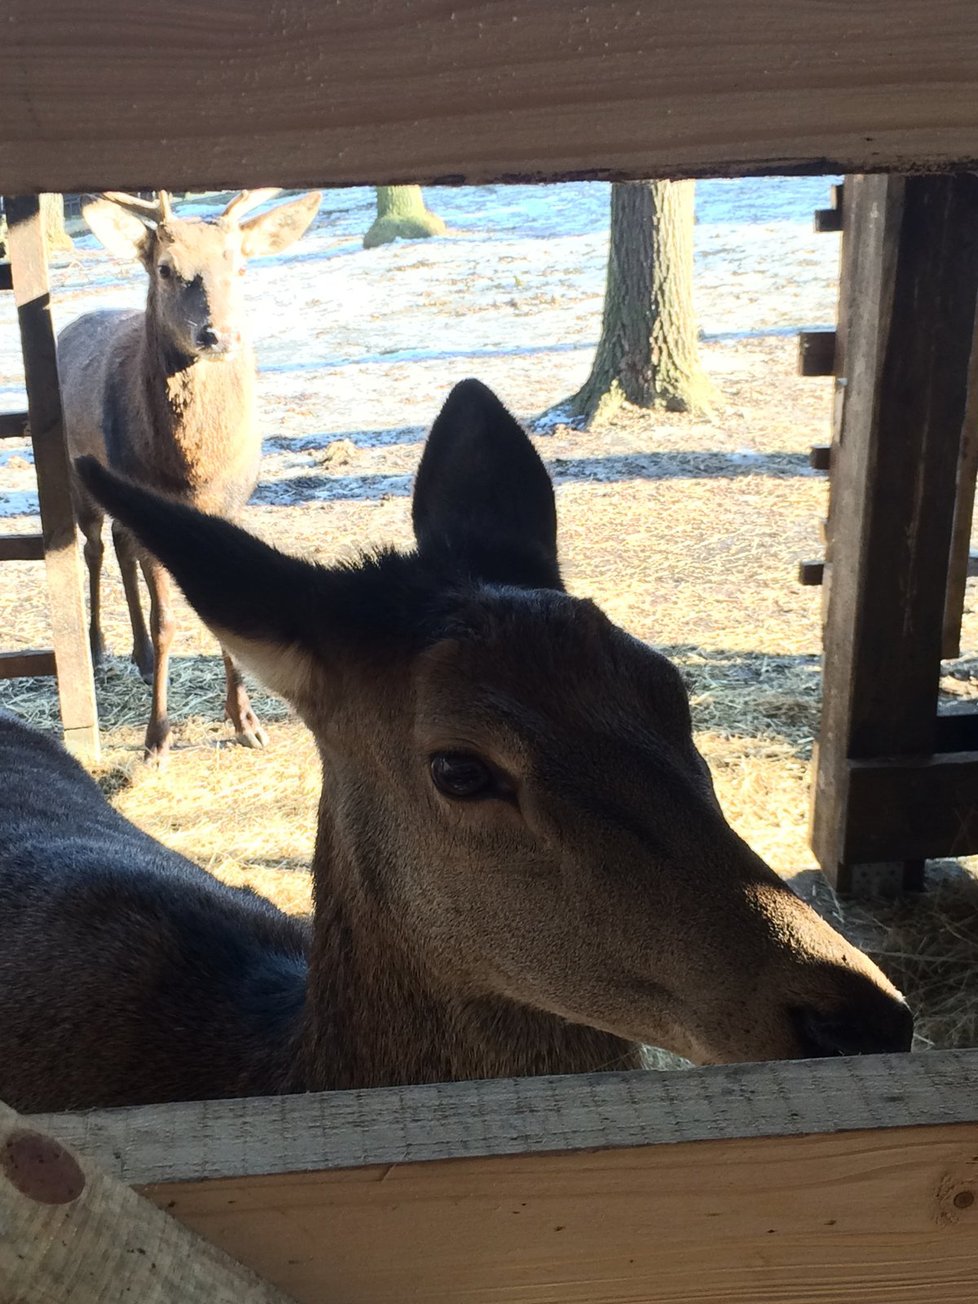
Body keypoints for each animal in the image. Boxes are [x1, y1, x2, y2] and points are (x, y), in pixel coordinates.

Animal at [58, 187, 322, 761]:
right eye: (165, 268)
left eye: (240, 266)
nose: (218, 335)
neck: (194, 470)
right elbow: (168, 621)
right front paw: (156, 740)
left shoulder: (229, 505)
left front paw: (246, 722)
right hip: (75, 471)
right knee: (94, 547)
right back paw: (99, 648)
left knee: (121, 544)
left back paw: (138, 655)